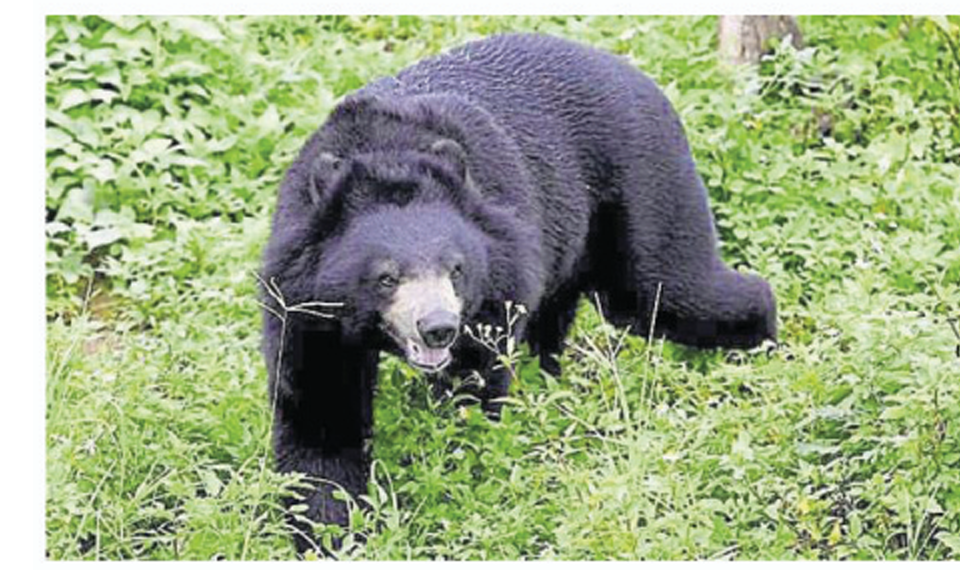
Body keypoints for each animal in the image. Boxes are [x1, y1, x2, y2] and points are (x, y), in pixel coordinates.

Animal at [260, 33, 777, 553]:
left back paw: (765, 343)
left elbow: (474, 385)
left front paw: (460, 467)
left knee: (668, 291)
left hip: (643, 188)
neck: (386, 151)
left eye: (456, 269)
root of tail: (640, 75)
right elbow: (322, 410)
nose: (438, 329)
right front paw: (329, 533)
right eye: (387, 277)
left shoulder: (497, 274)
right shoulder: (306, 304)